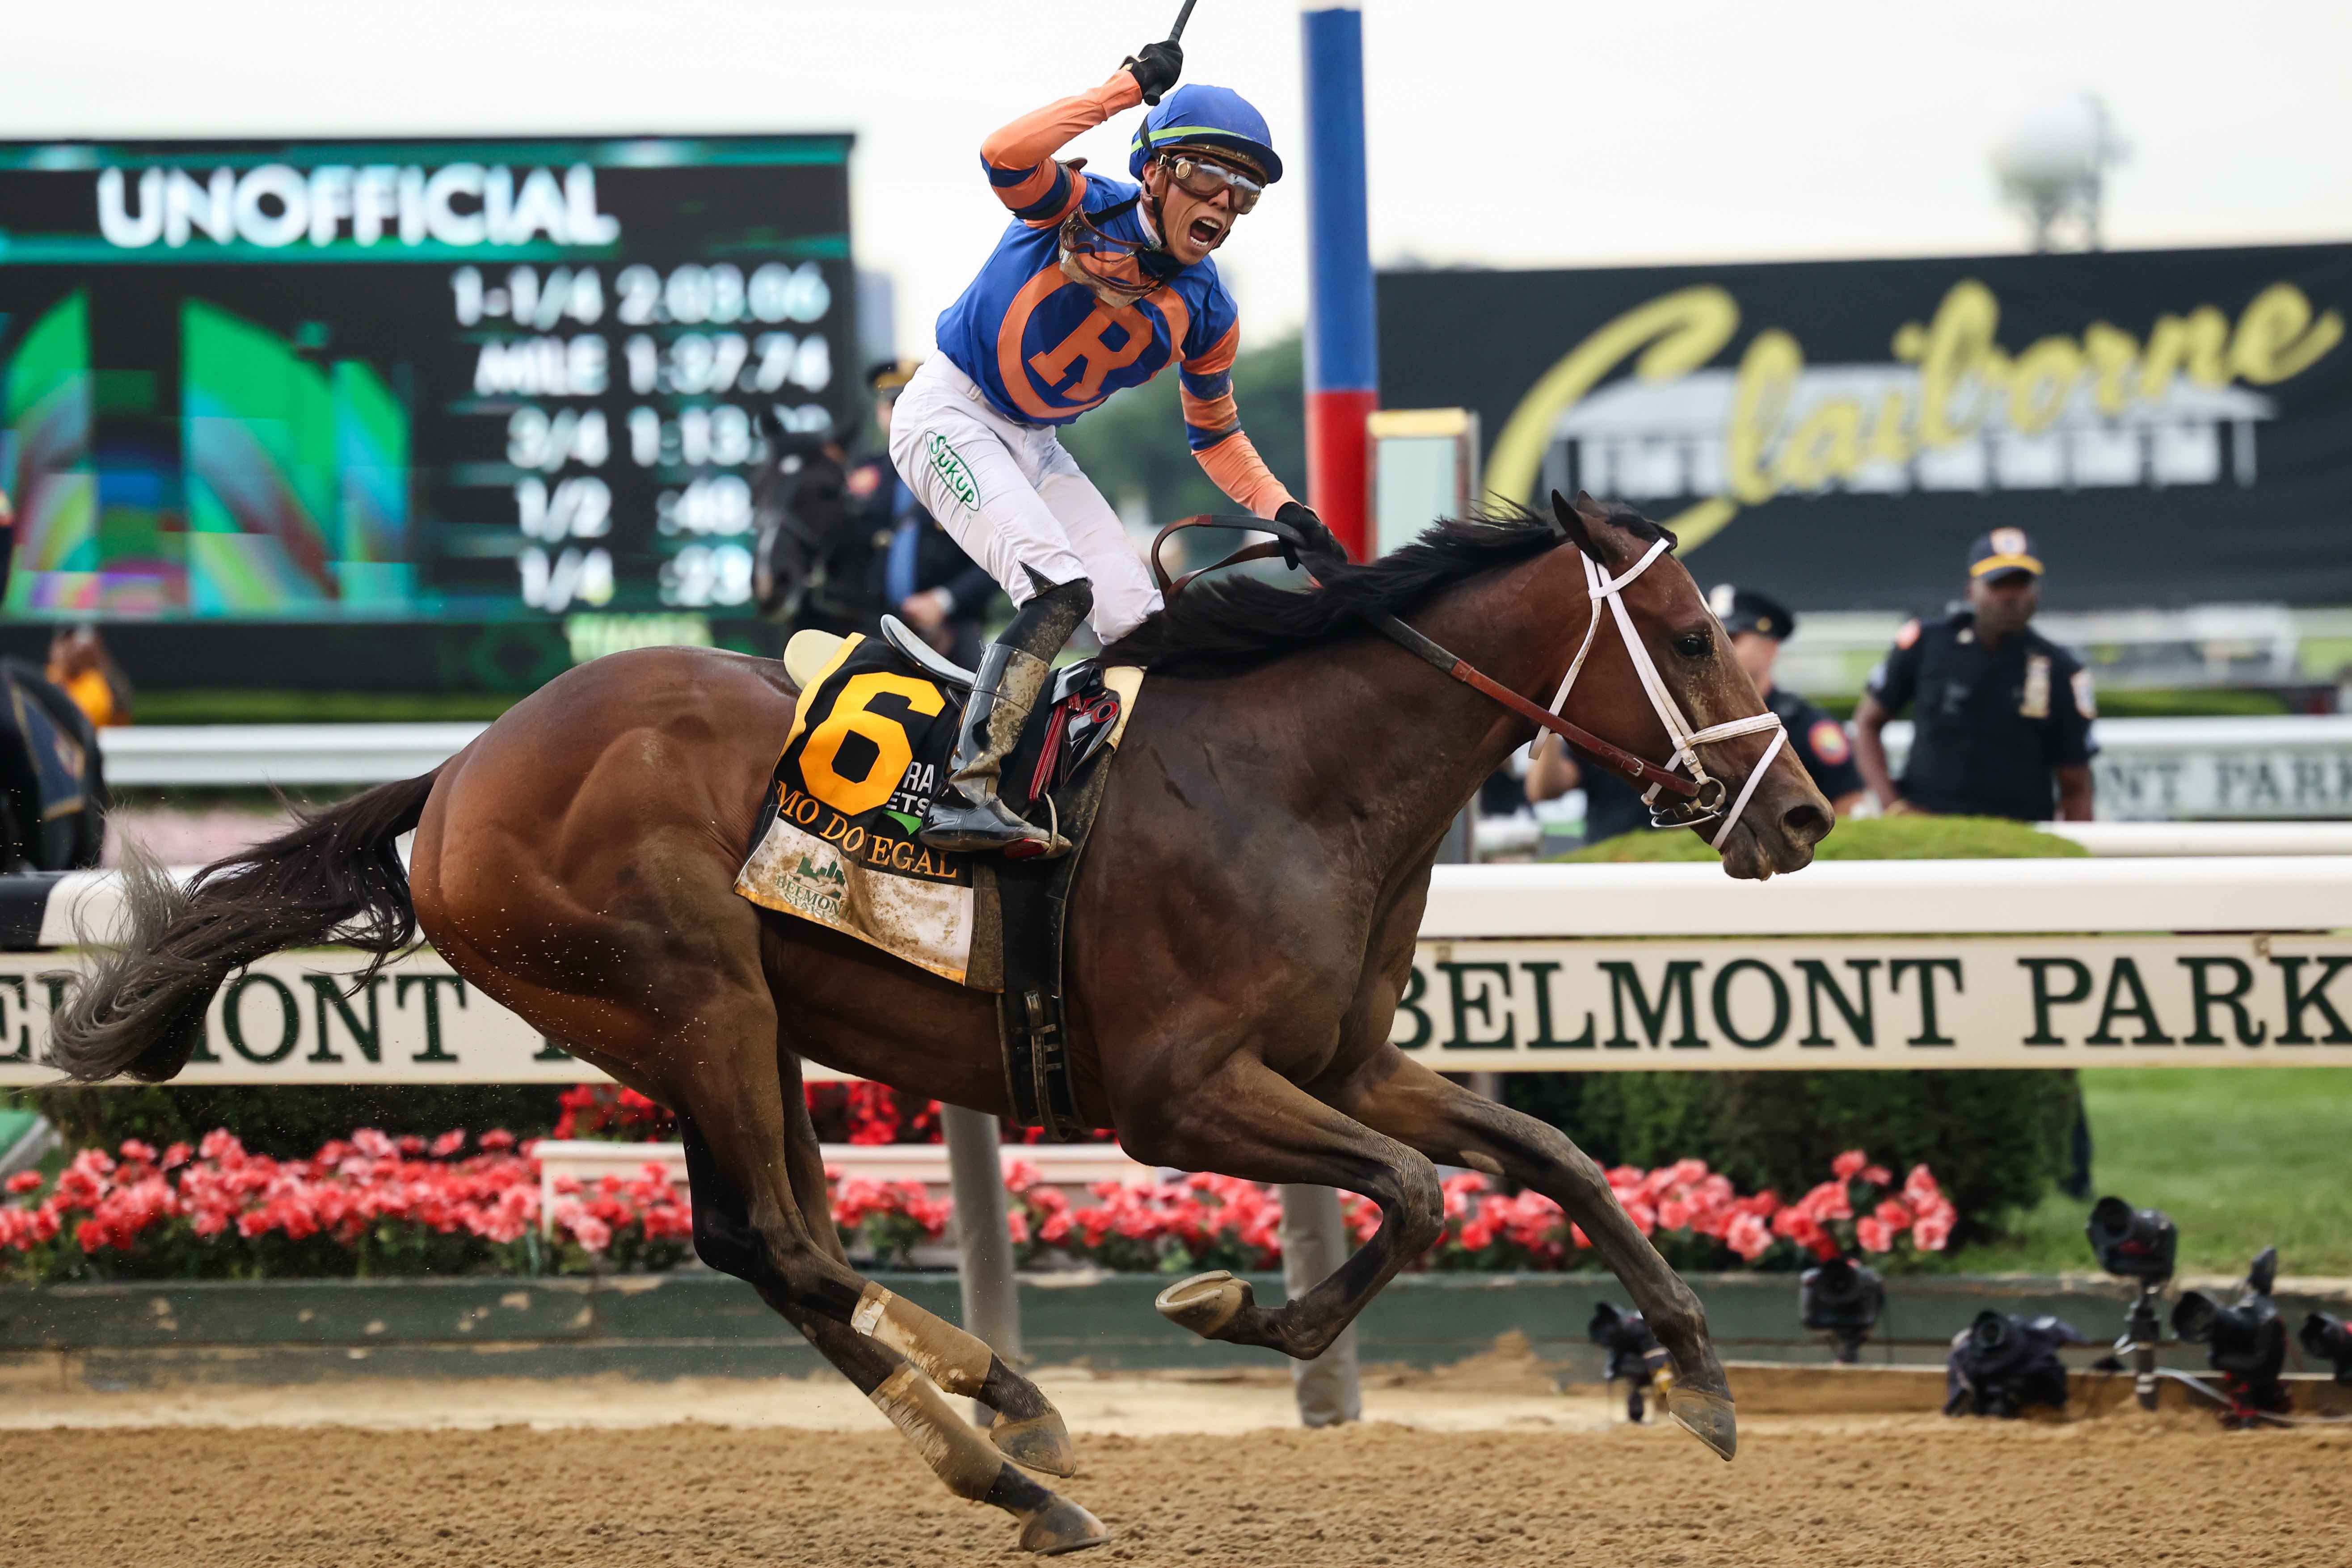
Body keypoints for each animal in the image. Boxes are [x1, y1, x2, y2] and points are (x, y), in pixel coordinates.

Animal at [51, 491, 1830, 1555]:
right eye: (1688, 636)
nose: (1805, 812)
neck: (1295, 774)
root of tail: (460, 768)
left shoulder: (1343, 1058)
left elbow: (1542, 1152)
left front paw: (1695, 1372)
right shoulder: (1174, 1092)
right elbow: (1415, 1193)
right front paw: (1225, 1302)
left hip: (734, 1018)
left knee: (775, 1235)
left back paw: (1012, 1418)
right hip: (686, 992)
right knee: (776, 1238)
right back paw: (1009, 1445)